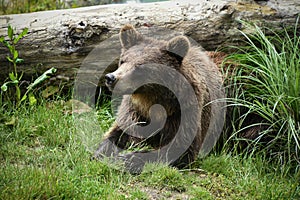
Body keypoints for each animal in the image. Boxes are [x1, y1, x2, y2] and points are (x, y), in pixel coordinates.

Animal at [94, 23, 225, 173]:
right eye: (123, 61)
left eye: (139, 67)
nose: (111, 78)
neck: (153, 102)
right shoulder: (135, 111)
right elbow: (119, 132)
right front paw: (100, 152)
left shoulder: (182, 113)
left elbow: (179, 148)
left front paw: (128, 159)